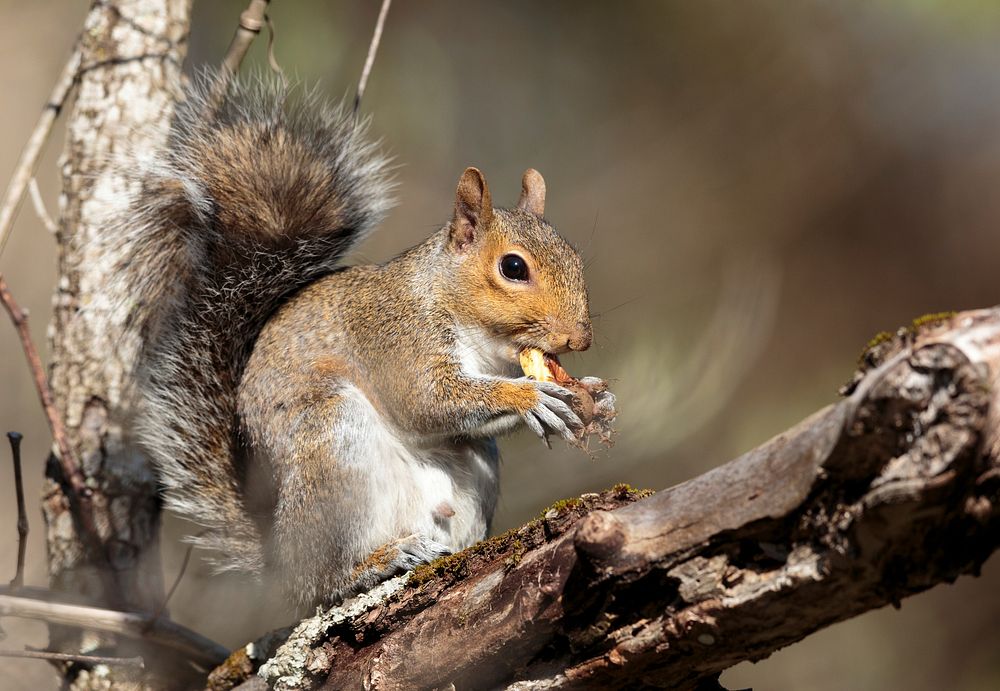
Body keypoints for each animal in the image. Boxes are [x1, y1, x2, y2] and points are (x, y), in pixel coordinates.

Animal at [115, 73, 600, 608]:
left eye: (574, 255)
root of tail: (278, 554)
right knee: (318, 582)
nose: (581, 338)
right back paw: (373, 564)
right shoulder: (395, 337)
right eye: (513, 267)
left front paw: (595, 395)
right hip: (333, 446)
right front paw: (532, 397)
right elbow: (425, 400)